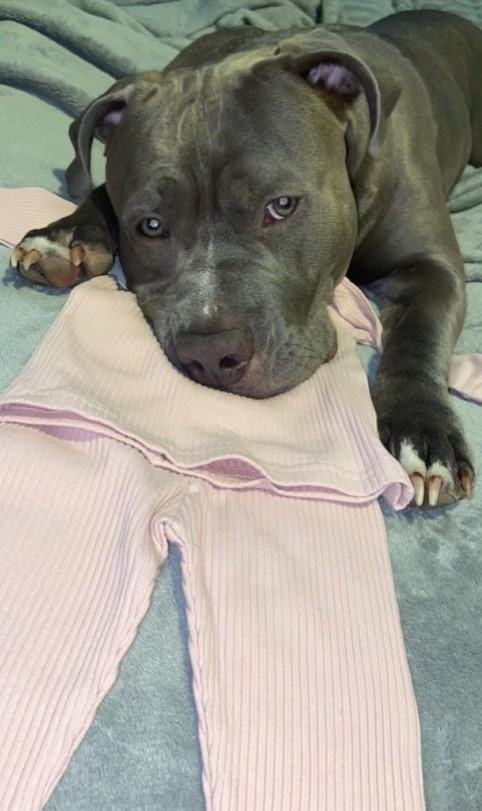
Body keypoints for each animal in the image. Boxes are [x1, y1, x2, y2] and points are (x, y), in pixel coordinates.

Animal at [11, 11, 482, 508]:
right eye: (151, 226)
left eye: (281, 205)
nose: (211, 352)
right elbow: (100, 190)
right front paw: (65, 234)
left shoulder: (433, 266)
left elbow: (419, 333)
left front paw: (422, 428)